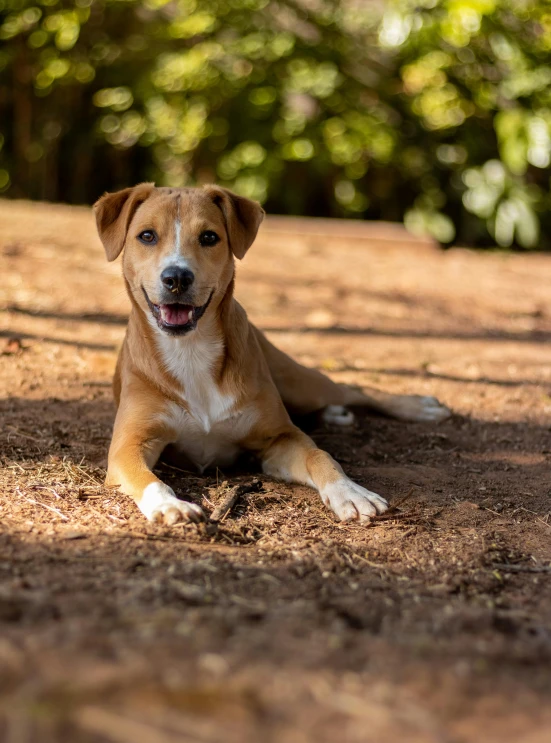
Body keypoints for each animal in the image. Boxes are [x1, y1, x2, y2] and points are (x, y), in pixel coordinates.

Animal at [94, 184, 448, 528]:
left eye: (209, 237)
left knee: (356, 389)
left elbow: (319, 455)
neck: (189, 350)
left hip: (298, 381)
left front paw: (349, 491)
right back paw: (336, 414)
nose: (177, 277)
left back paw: (417, 408)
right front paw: (170, 505)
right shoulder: (128, 446)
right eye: (147, 236)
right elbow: (147, 478)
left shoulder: (279, 437)